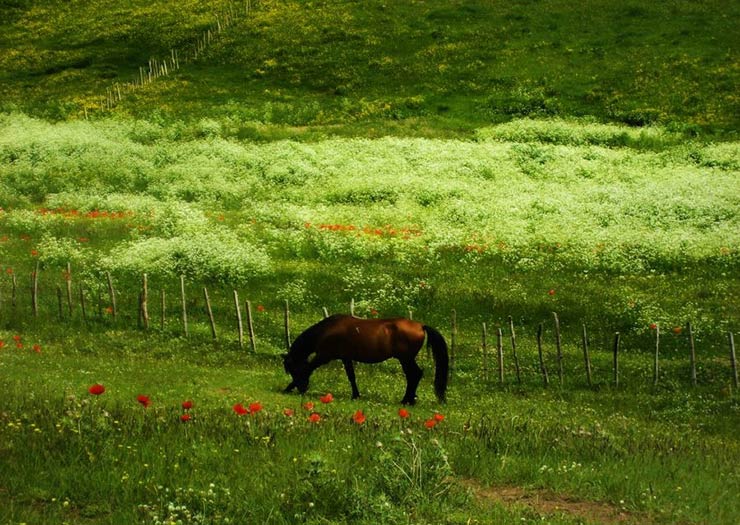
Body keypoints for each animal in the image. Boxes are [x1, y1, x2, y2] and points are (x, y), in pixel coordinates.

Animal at [282, 314, 448, 404]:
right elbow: (351, 377)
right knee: (414, 375)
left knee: (414, 375)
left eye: (292, 370)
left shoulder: (323, 356)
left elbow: (308, 368)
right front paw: (355, 395)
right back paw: (410, 399)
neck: (326, 330)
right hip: (406, 359)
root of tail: (421, 325)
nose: (302, 389)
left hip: (405, 359)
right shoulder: (346, 358)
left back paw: (407, 400)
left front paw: (287, 388)